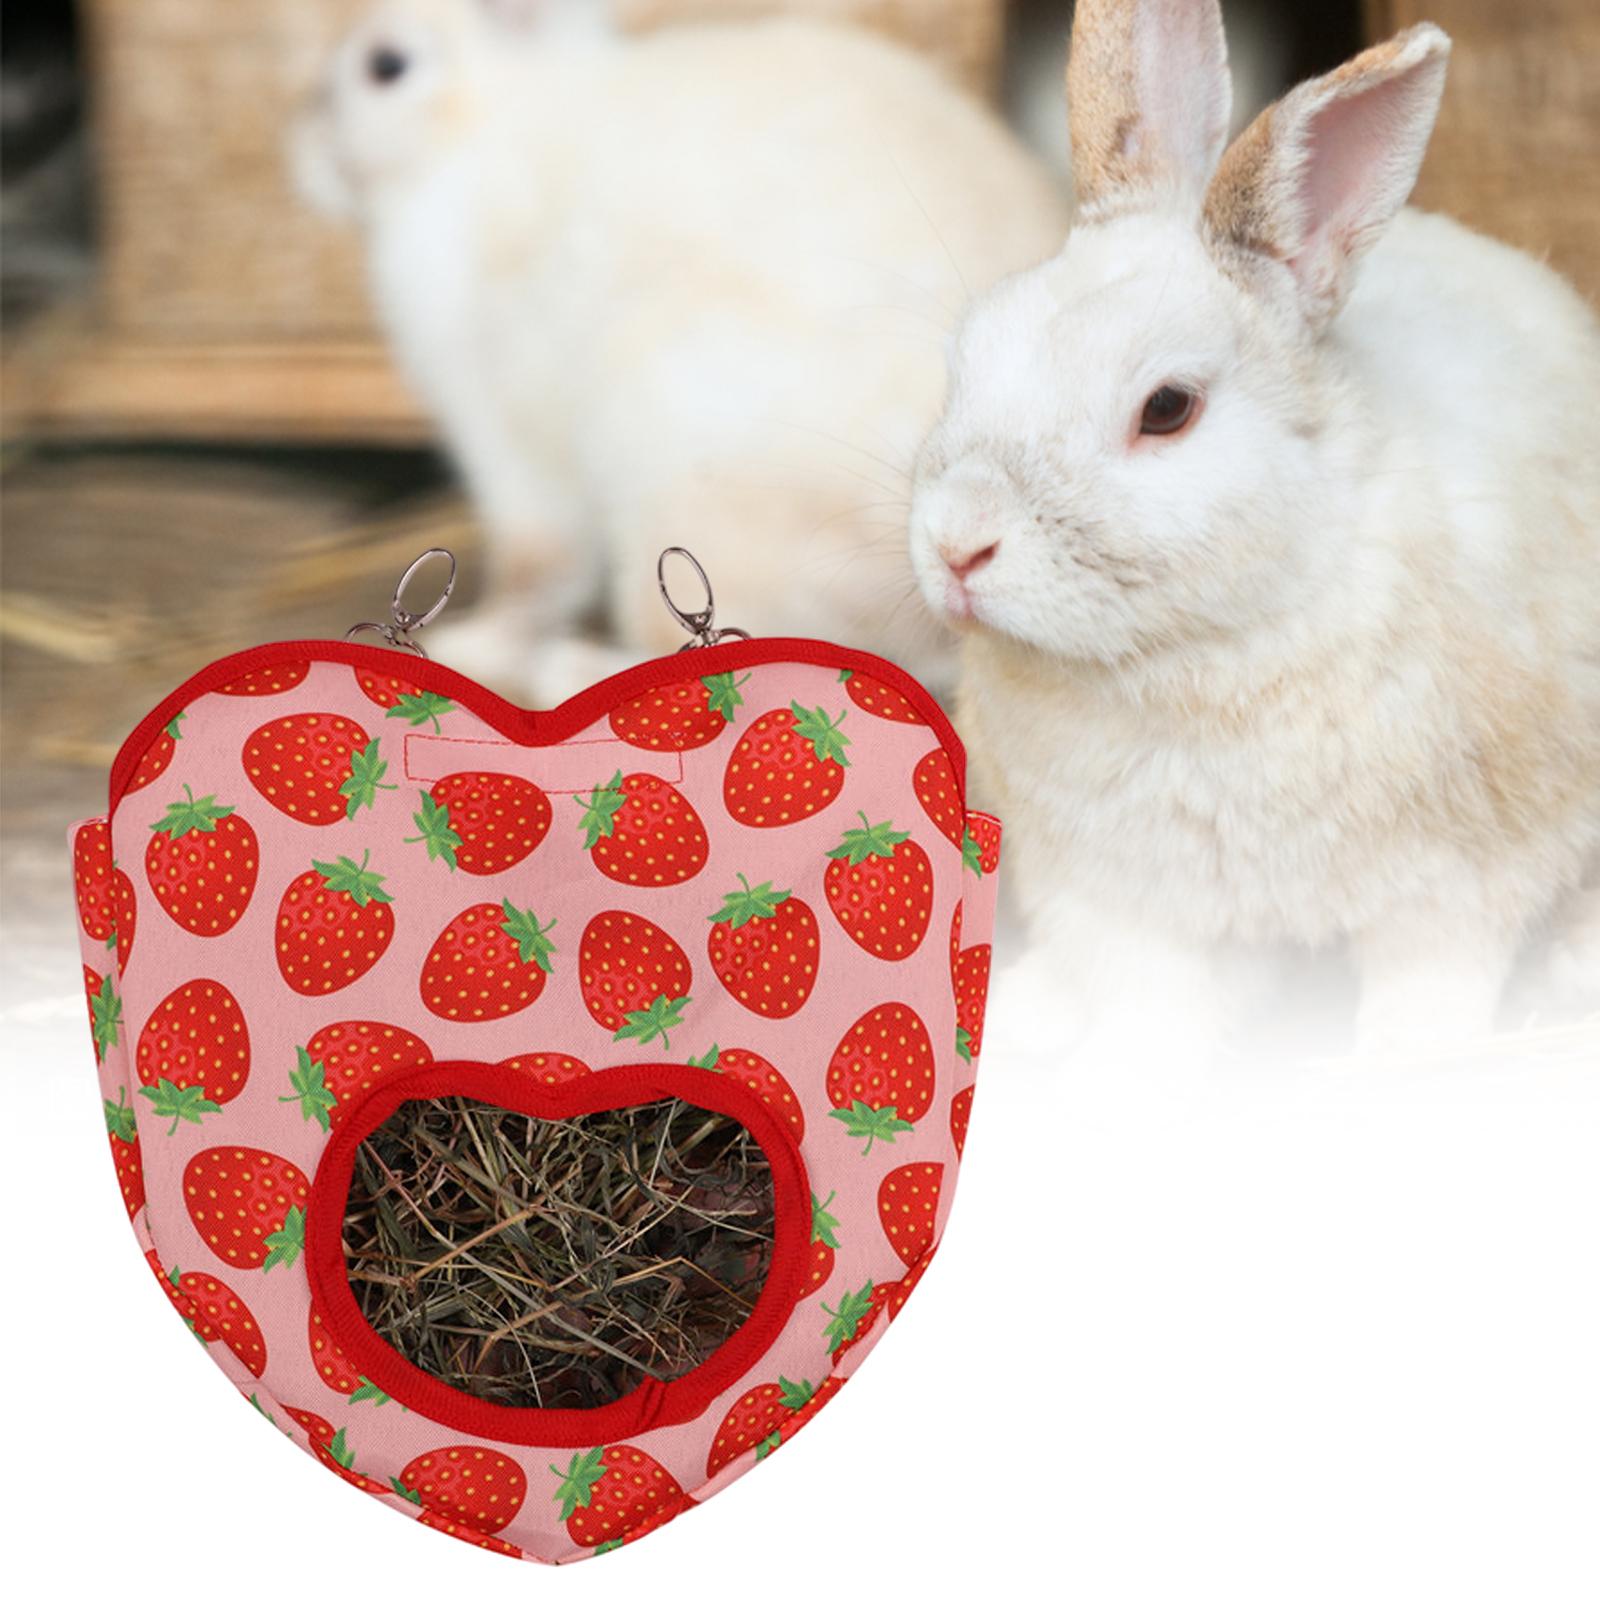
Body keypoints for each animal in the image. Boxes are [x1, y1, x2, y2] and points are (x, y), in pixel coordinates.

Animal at [292, 0, 1069, 698]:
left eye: (385, 66)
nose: (305, 145)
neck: (488, 121)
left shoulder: (511, 436)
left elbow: (534, 567)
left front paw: (476, 645)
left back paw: (569, 670)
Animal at [907, 0, 1600, 1058]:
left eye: (1166, 409)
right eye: (969, 351)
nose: (957, 546)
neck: (1203, 652)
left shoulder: (1458, 886)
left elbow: (1429, 990)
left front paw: (1405, 1064)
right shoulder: (1120, 903)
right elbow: (1152, 1011)